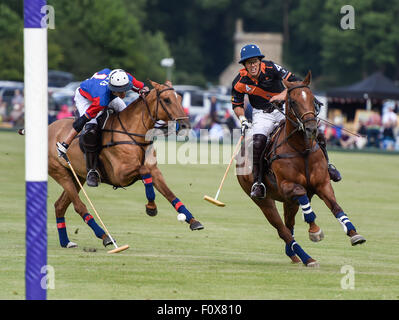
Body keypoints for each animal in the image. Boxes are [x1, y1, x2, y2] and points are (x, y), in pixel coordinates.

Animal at [47, 79, 203, 248]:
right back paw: (105, 237)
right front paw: (151, 207)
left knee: (59, 206)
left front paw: (193, 221)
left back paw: (66, 242)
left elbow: (170, 194)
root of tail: (49, 127)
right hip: (60, 173)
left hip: (77, 176)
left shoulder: (155, 171)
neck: (133, 134)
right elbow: (143, 171)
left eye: (179, 98)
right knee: (79, 206)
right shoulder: (120, 175)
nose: (185, 126)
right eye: (167, 100)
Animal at [238, 72, 366, 268]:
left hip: (288, 202)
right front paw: (315, 231)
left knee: (289, 226)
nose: (311, 128)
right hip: (264, 201)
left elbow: (336, 207)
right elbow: (305, 202)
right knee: (283, 230)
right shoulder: (288, 186)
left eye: (313, 99)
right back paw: (308, 258)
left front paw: (354, 234)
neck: (301, 148)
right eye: (293, 101)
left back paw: (293, 254)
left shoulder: (322, 183)